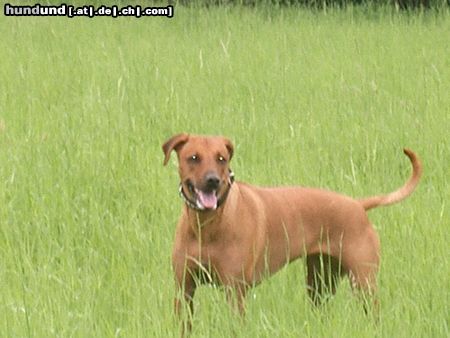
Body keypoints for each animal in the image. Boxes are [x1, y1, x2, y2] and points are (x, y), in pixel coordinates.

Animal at [163, 133, 422, 332]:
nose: (213, 181)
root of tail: (358, 205)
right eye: (193, 158)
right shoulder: (184, 289)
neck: (206, 227)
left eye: (221, 159)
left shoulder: (235, 291)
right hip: (320, 283)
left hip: (364, 282)